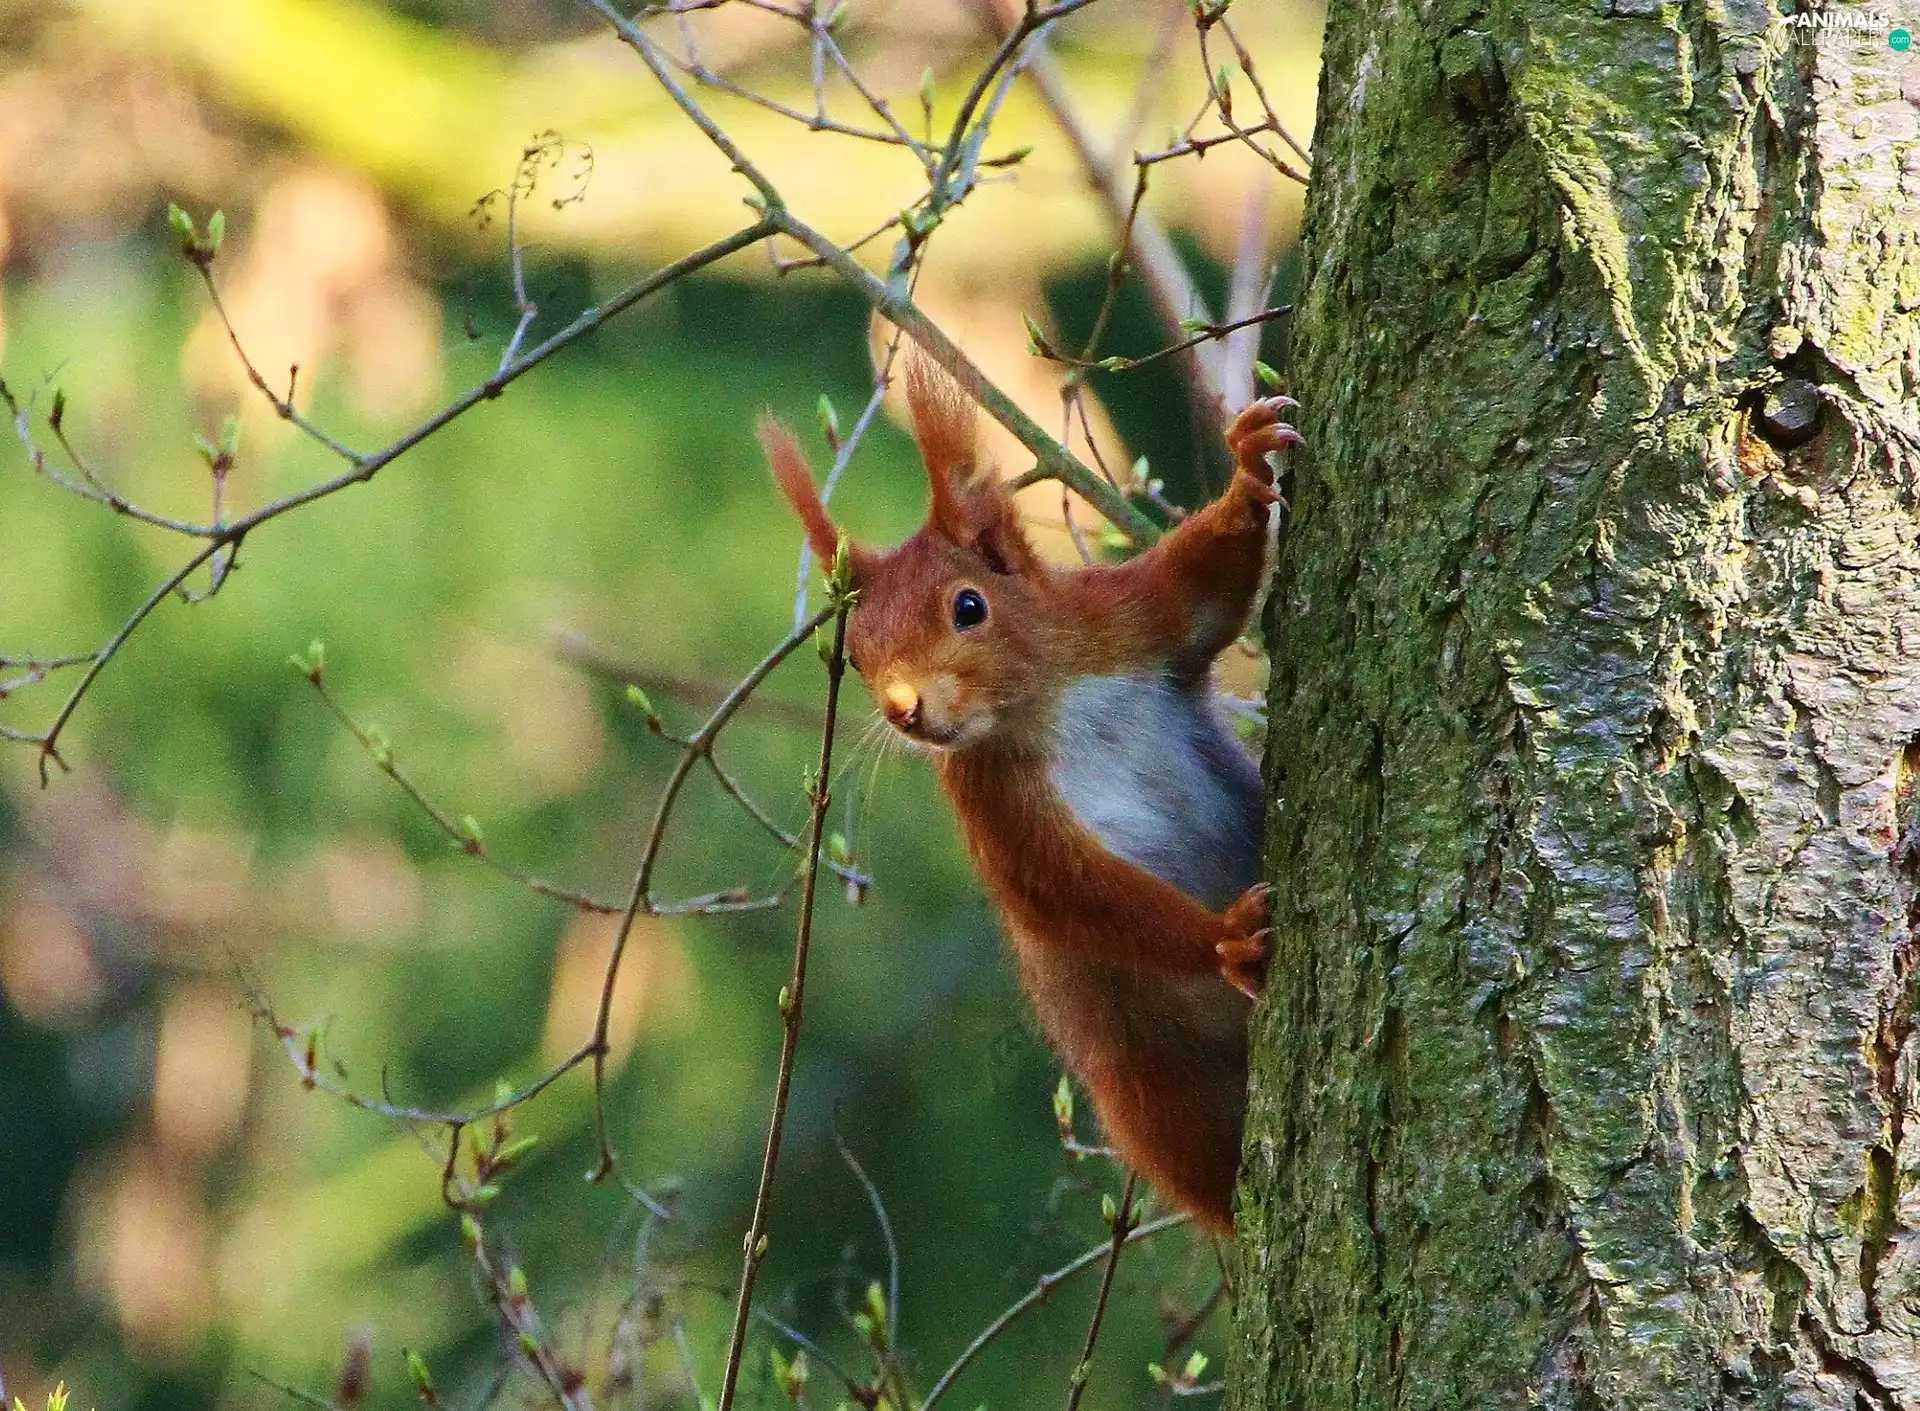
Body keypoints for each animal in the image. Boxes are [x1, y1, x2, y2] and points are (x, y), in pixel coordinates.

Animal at [760, 357, 1298, 1235]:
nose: (904, 709)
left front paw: (1251, 469)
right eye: (859, 653)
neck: (1042, 701)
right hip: (1155, 1095)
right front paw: (1223, 937)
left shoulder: (1122, 618)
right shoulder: (993, 803)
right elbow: (1061, 890)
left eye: (969, 606)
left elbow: (1203, 588)